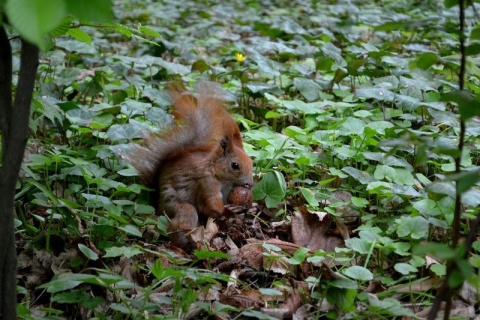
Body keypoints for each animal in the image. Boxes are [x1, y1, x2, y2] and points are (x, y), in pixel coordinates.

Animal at [127, 82, 255, 248]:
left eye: (252, 162)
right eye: (235, 165)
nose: (250, 184)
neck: (218, 174)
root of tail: (157, 202)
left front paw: (249, 208)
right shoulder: (206, 182)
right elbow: (212, 204)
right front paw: (230, 211)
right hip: (174, 203)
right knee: (183, 219)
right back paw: (187, 243)